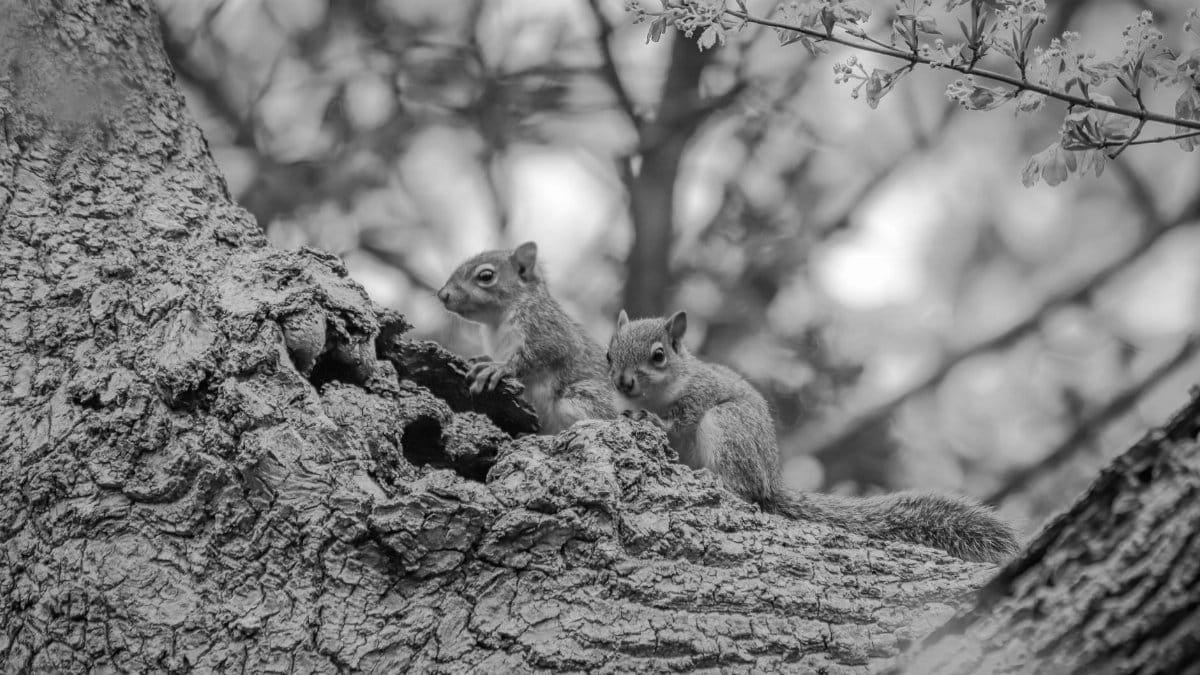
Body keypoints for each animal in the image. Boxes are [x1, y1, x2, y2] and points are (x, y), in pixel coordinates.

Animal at [437, 241, 616, 435]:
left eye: (486, 276)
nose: (443, 295)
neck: (496, 323)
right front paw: (484, 358)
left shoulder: (547, 326)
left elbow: (545, 351)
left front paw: (501, 367)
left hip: (581, 395)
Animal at [607, 309, 1019, 563]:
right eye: (610, 354)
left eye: (658, 356)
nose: (624, 382)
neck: (657, 393)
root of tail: (773, 479)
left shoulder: (701, 394)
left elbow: (682, 418)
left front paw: (656, 421)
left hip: (729, 427)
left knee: (746, 487)